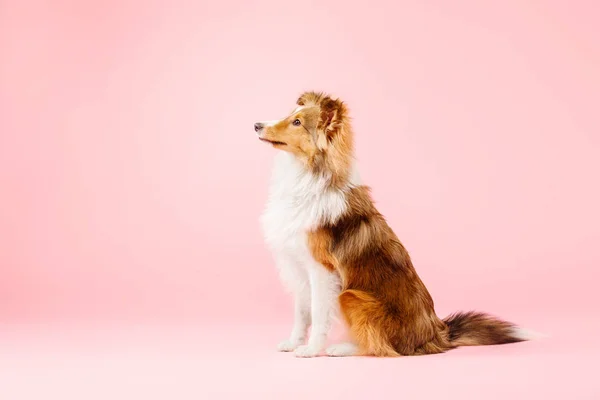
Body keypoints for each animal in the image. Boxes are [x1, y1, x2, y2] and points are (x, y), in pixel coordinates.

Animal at [255, 92, 528, 358]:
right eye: (290, 115)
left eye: (297, 122)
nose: (256, 125)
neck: (305, 175)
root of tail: (437, 334)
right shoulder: (298, 267)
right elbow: (302, 314)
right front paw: (293, 343)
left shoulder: (322, 270)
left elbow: (320, 315)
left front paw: (311, 350)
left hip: (351, 295)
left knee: (380, 345)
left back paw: (342, 348)